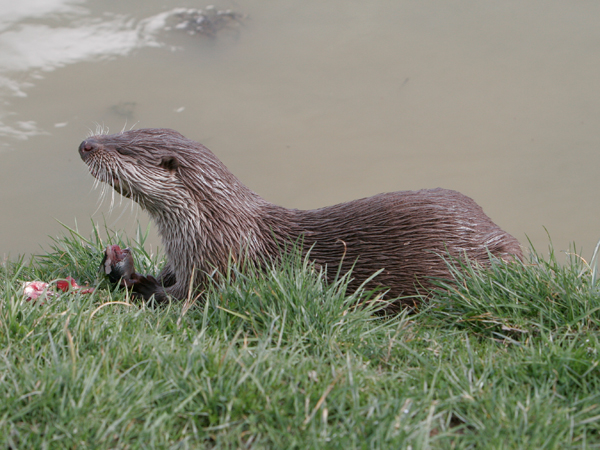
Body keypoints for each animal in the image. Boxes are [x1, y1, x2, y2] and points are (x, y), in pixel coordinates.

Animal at [78, 128, 520, 308]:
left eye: (123, 150)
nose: (86, 144)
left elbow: (177, 298)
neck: (209, 227)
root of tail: (500, 235)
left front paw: (133, 278)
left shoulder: (217, 268)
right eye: (121, 133)